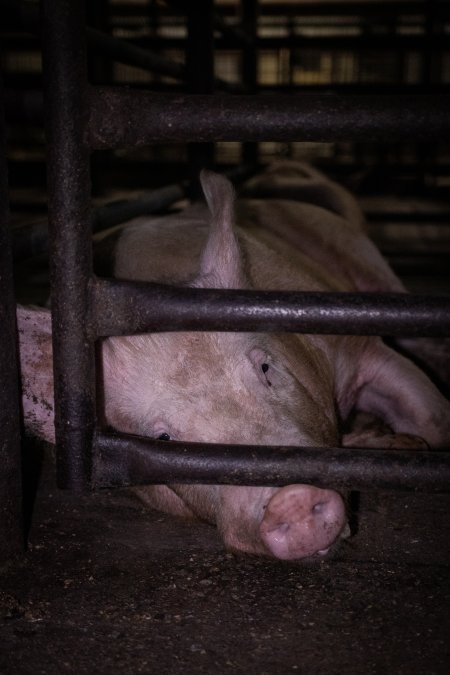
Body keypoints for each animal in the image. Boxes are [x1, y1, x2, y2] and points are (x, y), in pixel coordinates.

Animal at [16, 162, 450, 560]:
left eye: (266, 368)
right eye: (164, 438)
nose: (290, 499)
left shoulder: (359, 346)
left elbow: (433, 418)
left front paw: (408, 442)